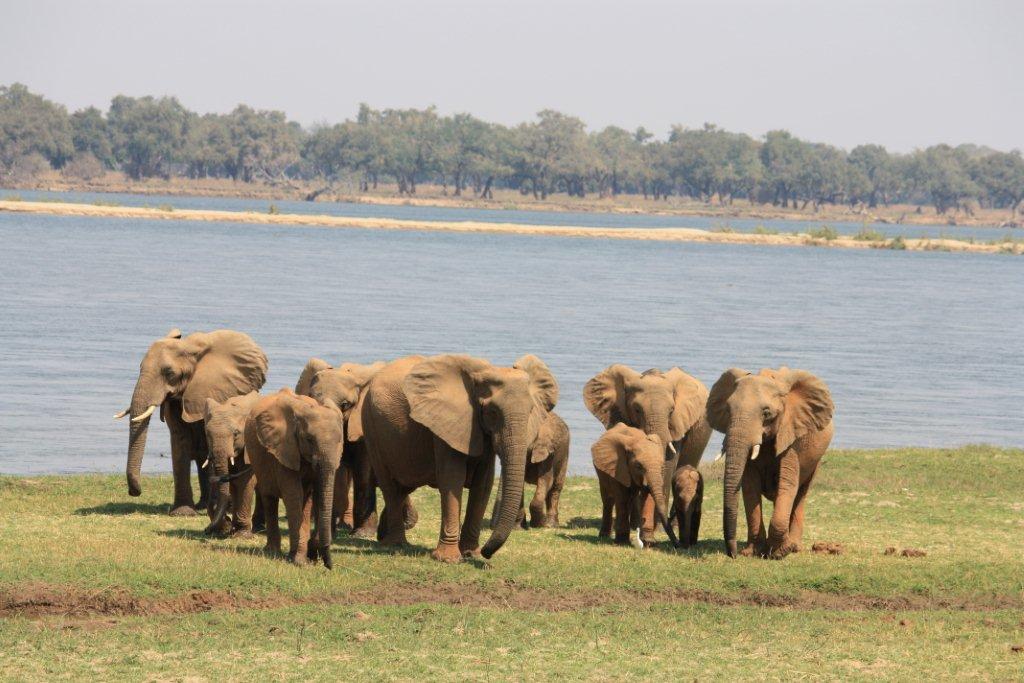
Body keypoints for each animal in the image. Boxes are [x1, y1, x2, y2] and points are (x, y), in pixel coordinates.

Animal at [202, 391, 262, 537]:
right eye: (207, 433)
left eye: (236, 434)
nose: (206, 530)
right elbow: (230, 483)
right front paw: (229, 529)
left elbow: (245, 482)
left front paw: (242, 535)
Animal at [246, 388, 344, 568]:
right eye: (309, 440)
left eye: (340, 440)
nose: (329, 566)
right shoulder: (284, 448)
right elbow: (294, 494)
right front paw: (300, 561)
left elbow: (312, 494)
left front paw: (306, 557)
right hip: (258, 459)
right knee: (269, 498)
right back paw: (273, 551)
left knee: (305, 501)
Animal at [361, 353, 558, 562]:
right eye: (492, 412)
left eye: (531, 411)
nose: (487, 553)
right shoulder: (445, 423)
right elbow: (452, 479)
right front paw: (448, 559)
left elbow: (484, 483)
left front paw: (472, 554)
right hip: (370, 426)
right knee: (389, 485)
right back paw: (396, 544)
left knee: (402, 487)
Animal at [707, 366, 834, 559]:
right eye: (728, 410)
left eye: (766, 413)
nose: (732, 554)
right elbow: (750, 485)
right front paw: (752, 552)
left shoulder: (791, 435)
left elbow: (787, 483)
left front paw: (779, 552)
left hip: (815, 460)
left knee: (801, 493)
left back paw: (794, 546)